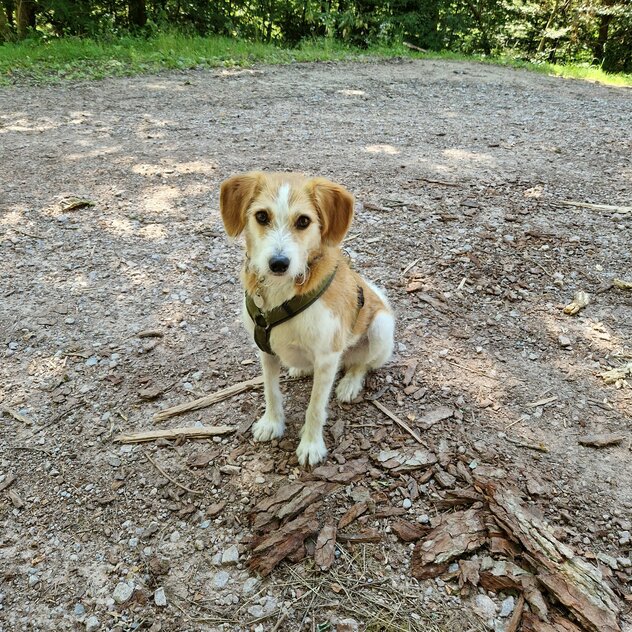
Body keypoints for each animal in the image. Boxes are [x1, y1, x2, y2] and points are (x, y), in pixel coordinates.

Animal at [220, 172, 392, 464]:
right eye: (262, 216)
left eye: (303, 221)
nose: (278, 264)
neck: (284, 292)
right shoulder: (264, 350)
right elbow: (271, 391)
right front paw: (272, 423)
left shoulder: (327, 358)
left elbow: (315, 407)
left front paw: (311, 445)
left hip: (380, 326)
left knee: (361, 364)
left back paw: (349, 383)